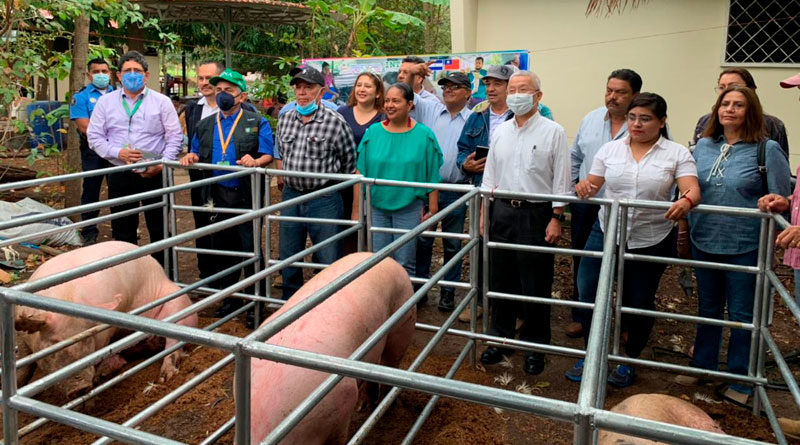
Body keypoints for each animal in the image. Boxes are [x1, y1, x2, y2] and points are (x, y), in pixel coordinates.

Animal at [13, 241, 197, 398]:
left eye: (87, 340)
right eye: (55, 343)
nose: (80, 388)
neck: (67, 296)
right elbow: (23, 365)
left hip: (178, 306)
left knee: (174, 345)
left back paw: (165, 376)